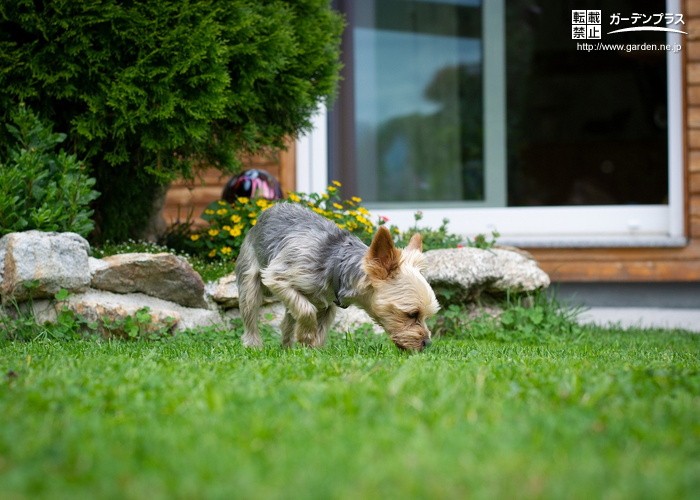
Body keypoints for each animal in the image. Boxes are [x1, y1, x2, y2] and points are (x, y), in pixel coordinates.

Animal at [238, 203, 440, 352]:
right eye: (412, 314)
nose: (427, 343)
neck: (336, 265)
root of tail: (265, 213)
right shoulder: (276, 276)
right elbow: (306, 310)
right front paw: (306, 335)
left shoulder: (327, 305)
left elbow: (318, 325)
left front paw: (312, 349)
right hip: (250, 280)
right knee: (251, 312)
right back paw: (253, 345)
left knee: (288, 319)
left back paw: (287, 348)